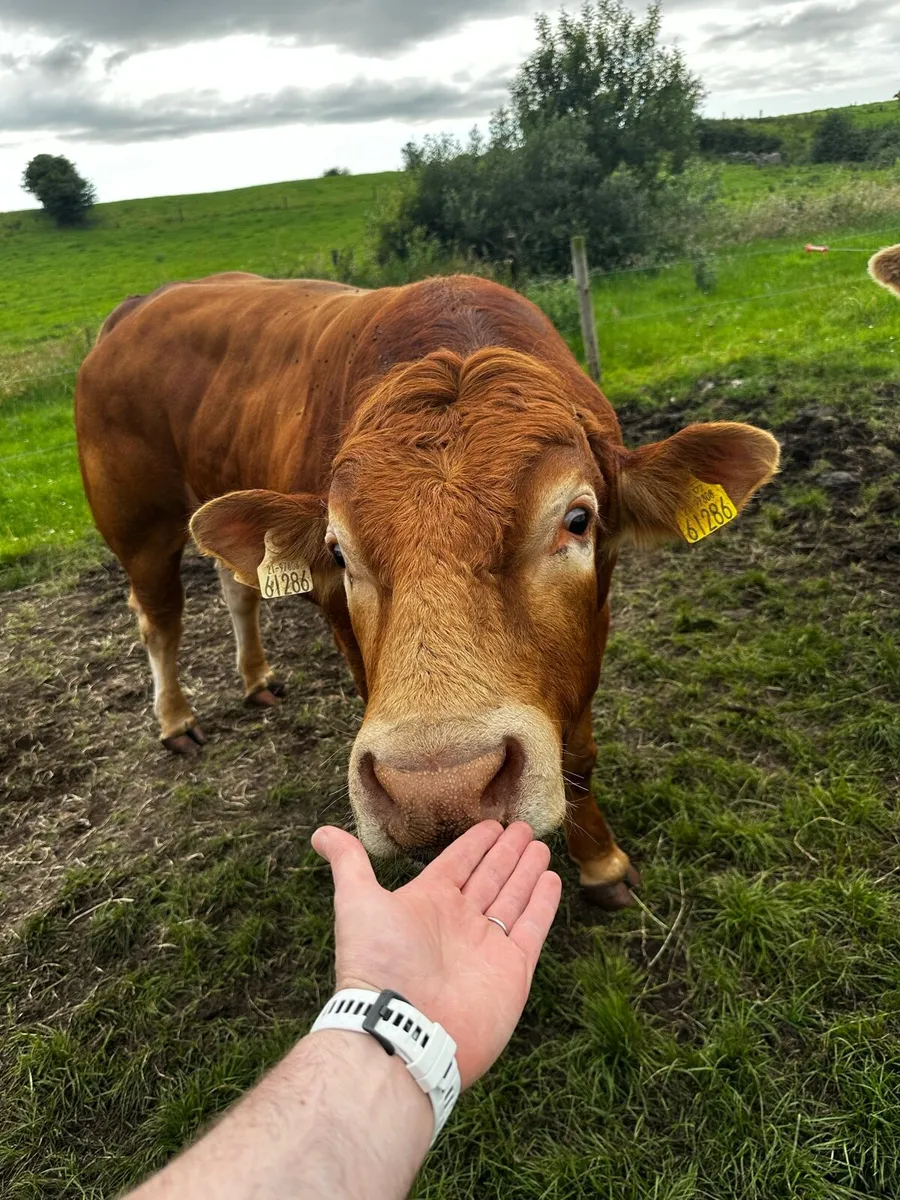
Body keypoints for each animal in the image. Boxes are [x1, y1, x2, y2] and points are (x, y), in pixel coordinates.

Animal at [75, 272, 779, 908]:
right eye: (337, 551)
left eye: (577, 520)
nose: (441, 789)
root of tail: (137, 307)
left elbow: (578, 752)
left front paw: (602, 863)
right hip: (139, 528)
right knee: (160, 617)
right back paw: (176, 719)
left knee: (237, 589)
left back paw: (257, 678)